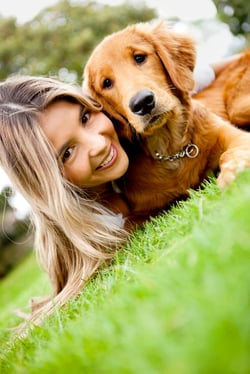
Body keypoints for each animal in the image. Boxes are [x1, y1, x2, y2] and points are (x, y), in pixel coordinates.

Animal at [83, 21, 250, 222]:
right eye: (106, 83)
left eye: (139, 57)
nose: (142, 102)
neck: (171, 147)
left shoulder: (233, 135)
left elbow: (232, 152)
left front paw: (232, 173)